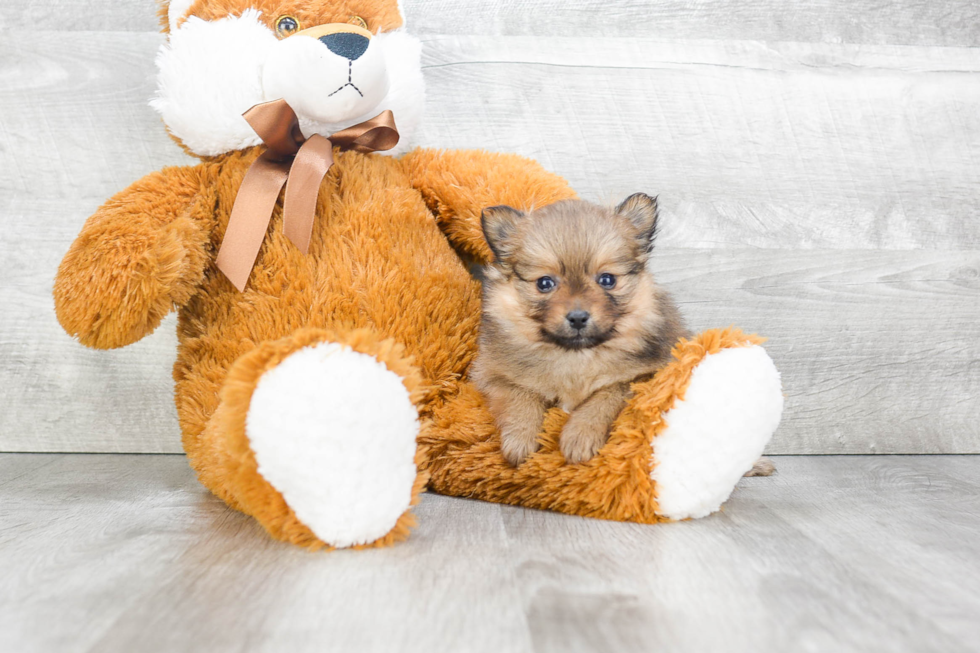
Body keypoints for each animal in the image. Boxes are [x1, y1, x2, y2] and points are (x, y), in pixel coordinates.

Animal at [468, 194, 684, 464]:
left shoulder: (641, 377)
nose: (579, 318)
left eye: (607, 280)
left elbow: (604, 398)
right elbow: (521, 396)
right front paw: (520, 439)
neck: (576, 356)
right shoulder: (493, 374)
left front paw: (580, 437)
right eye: (545, 283)